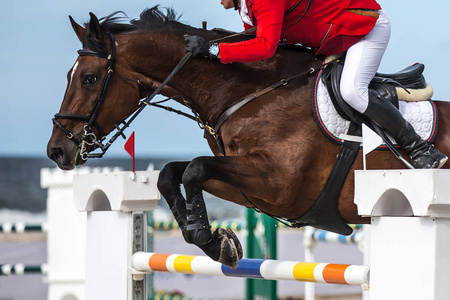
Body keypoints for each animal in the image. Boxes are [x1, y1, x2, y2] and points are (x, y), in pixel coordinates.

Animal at [47, 7, 448, 268]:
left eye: (89, 79)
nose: (58, 150)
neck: (249, 91)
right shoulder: (249, 187)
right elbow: (174, 173)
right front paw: (215, 243)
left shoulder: (281, 184)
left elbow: (194, 169)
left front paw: (208, 237)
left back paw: (426, 157)